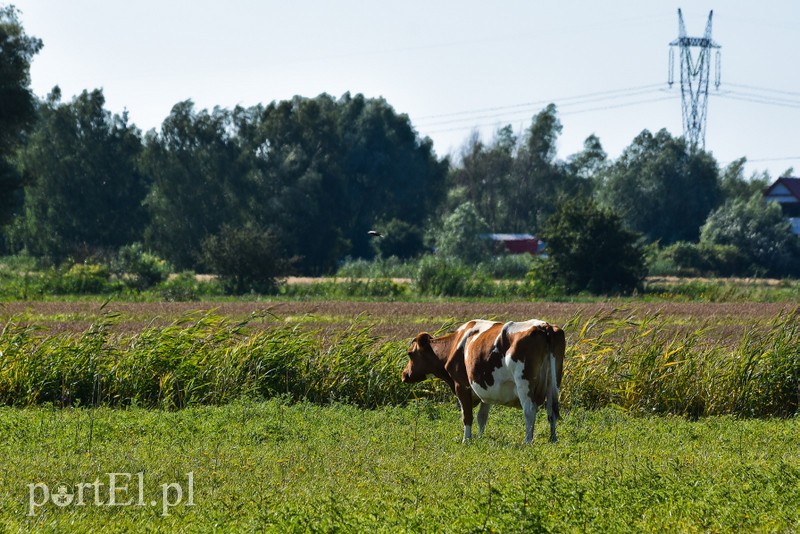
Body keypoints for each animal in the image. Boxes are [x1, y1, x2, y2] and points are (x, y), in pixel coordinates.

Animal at [398, 318, 564, 444]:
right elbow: (482, 417)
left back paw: (527, 441)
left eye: (410, 354)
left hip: (524, 384)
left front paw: (467, 440)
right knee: (551, 410)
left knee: (529, 410)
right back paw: (553, 439)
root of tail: (544, 326)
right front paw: (480, 438)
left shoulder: (461, 386)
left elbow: (467, 416)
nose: (404, 375)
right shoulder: (487, 389)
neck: (455, 345)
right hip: (553, 382)